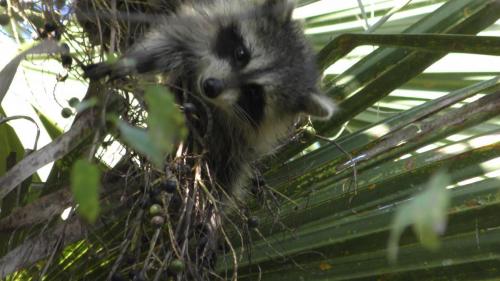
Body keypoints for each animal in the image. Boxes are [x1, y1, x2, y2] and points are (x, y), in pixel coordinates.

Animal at [85, 0, 336, 197]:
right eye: (241, 54)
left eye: (254, 93)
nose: (211, 87)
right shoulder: (202, 25)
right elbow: (168, 41)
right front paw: (130, 62)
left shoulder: (241, 141)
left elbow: (226, 172)